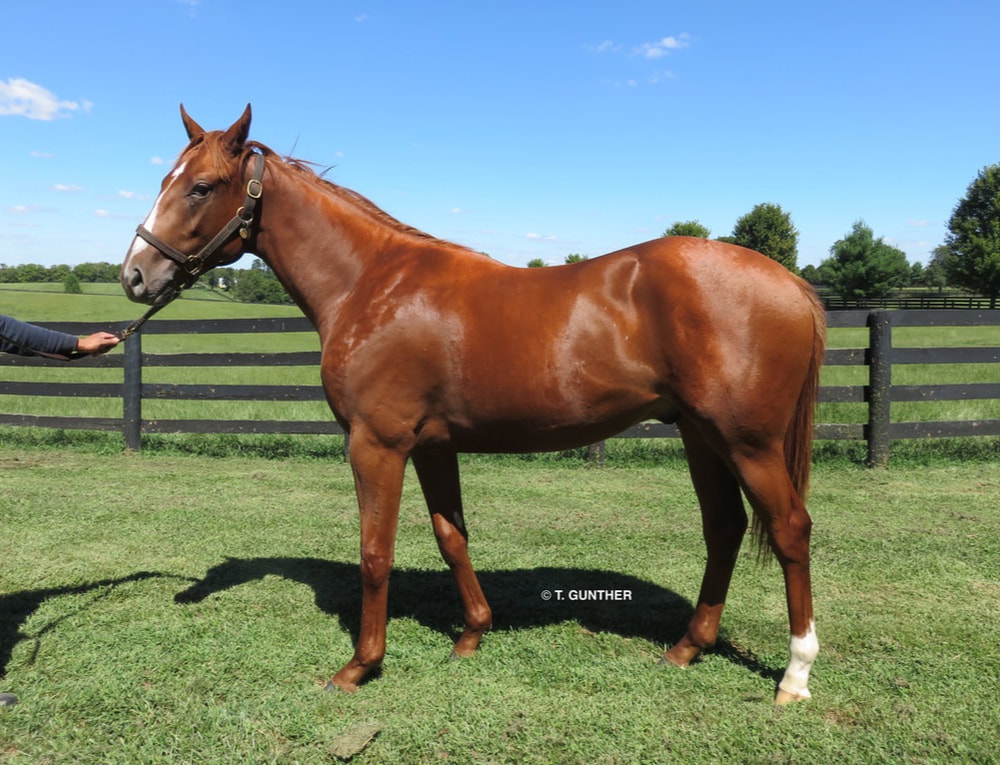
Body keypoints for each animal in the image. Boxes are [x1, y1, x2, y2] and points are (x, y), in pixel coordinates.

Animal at [123, 104, 828, 700]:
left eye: (201, 186)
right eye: (165, 177)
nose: (134, 275)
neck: (371, 284)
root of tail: (792, 284)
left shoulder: (377, 443)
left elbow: (375, 552)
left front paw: (360, 666)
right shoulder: (433, 446)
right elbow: (451, 536)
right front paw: (471, 634)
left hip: (746, 442)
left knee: (790, 529)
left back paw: (795, 675)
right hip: (699, 434)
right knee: (725, 527)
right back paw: (687, 648)